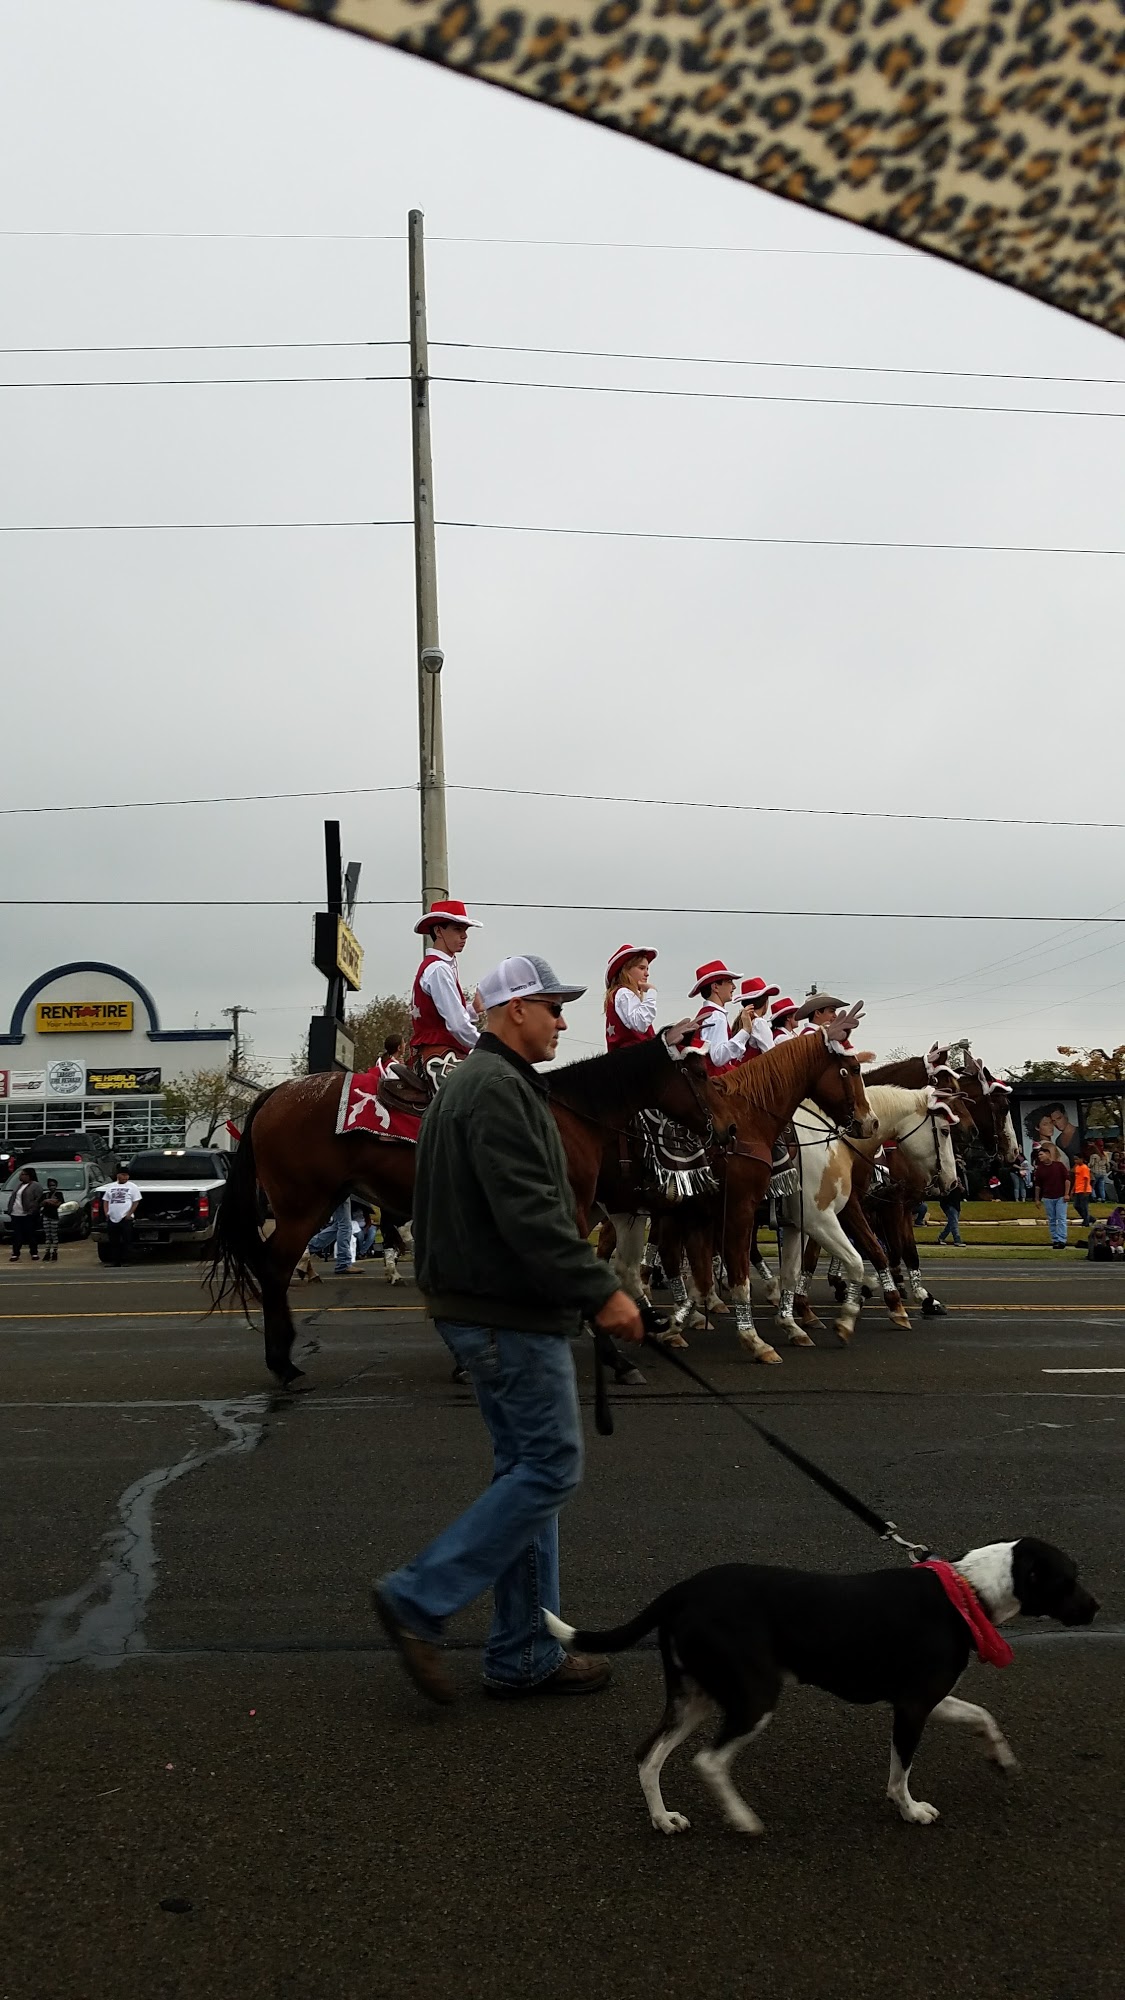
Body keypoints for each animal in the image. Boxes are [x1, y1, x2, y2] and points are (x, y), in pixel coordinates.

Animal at [208, 1025, 712, 1385]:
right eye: (702, 1074)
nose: (717, 1129)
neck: (568, 1116)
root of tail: (274, 1093)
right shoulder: (565, 1211)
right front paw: (620, 1357)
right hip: (302, 1207)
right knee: (273, 1268)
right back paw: (283, 1362)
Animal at [544, 1538, 1098, 1835]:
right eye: (1069, 1579)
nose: (1096, 1609)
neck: (967, 1591)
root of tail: (680, 1591)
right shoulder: (912, 1706)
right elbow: (899, 1774)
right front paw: (910, 1810)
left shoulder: (923, 1699)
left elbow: (983, 1716)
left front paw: (1000, 1758)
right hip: (753, 1697)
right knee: (709, 1760)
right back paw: (743, 1819)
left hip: (694, 1696)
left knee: (649, 1756)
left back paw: (664, 1820)